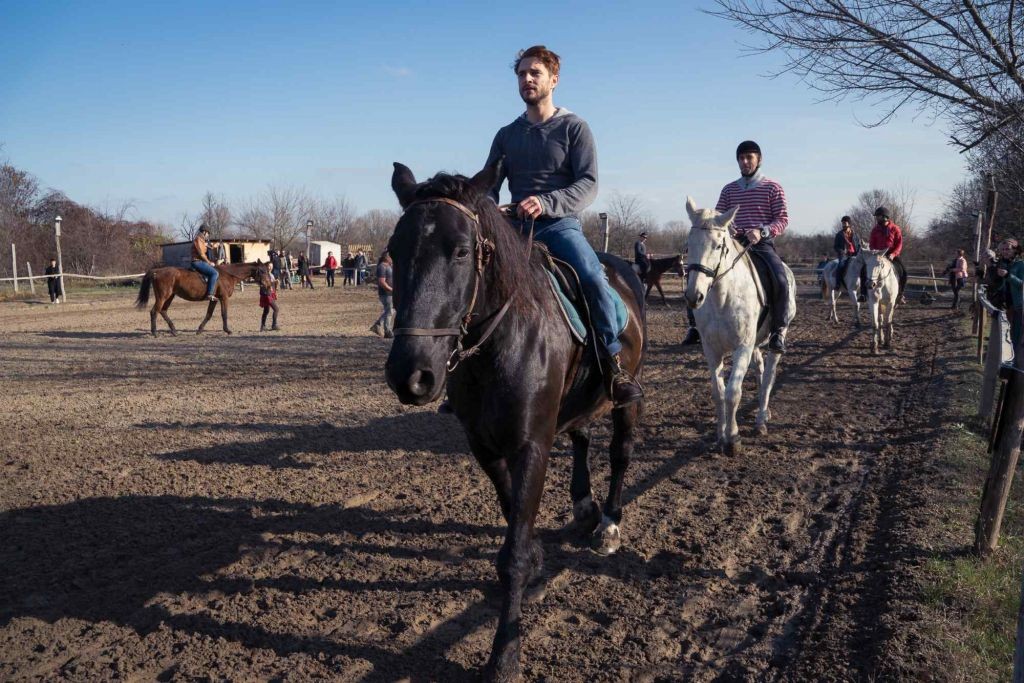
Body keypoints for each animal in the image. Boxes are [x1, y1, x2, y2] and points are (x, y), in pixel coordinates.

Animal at [135, 261, 272, 337]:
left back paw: (174, 331)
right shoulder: (223, 298)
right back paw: (154, 333)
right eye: (263, 271)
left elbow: (209, 314)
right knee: (154, 311)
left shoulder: (214, 299)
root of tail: (157, 271)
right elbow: (224, 314)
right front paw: (227, 330)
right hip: (163, 296)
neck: (227, 275)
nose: (269, 285)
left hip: (170, 296)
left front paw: (199, 330)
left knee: (163, 311)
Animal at [385, 160, 645, 681]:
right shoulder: (485, 445)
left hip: (624, 401)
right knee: (582, 438)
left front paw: (505, 655)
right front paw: (540, 568)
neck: (502, 342)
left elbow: (514, 555)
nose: (411, 374)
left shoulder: (531, 446)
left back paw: (608, 523)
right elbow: (513, 517)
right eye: (394, 250)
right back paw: (585, 508)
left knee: (619, 454)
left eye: (462, 251)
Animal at [683, 197, 795, 455]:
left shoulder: (741, 347)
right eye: (688, 245)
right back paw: (763, 414)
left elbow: (733, 392)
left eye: (717, 246)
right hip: (754, 344)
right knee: (760, 369)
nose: (694, 296)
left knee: (769, 374)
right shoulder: (712, 350)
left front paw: (733, 439)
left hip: (774, 338)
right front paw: (720, 435)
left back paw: (761, 419)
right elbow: (718, 393)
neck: (722, 299)